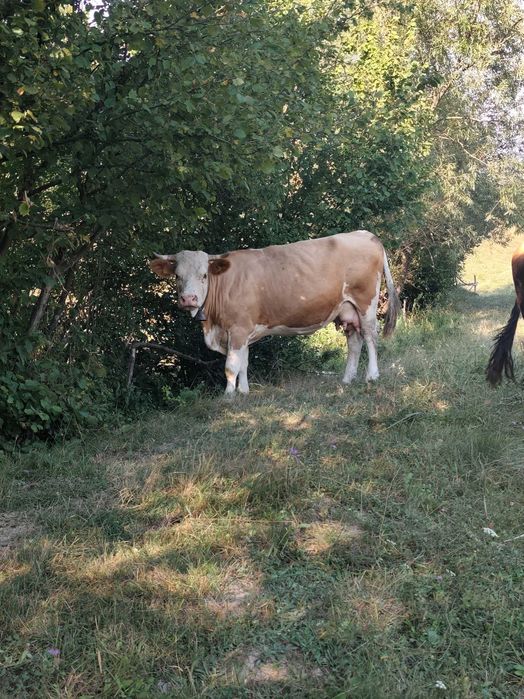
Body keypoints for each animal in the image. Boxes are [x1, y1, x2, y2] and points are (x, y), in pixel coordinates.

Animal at [150, 230, 400, 396]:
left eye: (204, 275)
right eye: (177, 276)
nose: (188, 299)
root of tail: (365, 234)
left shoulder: (238, 329)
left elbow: (231, 366)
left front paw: (229, 396)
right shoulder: (243, 331)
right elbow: (244, 363)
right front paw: (244, 392)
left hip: (366, 302)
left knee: (370, 336)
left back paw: (372, 376)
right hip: (347, 309)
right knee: (354, 342)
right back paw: (347, 379)